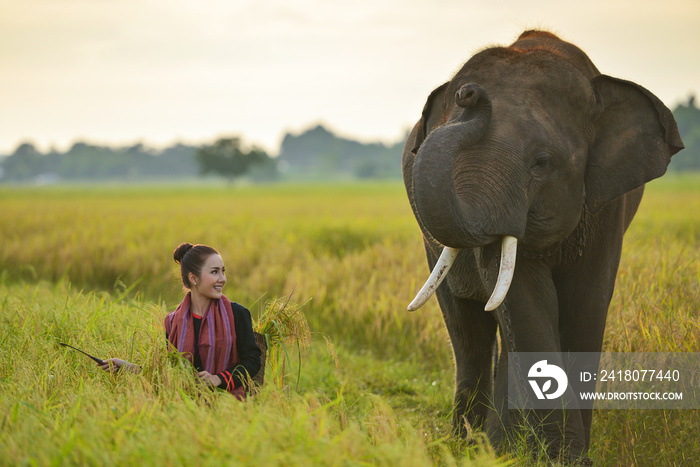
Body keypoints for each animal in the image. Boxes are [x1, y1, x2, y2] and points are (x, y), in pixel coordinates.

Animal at [402, 30, 680, 464]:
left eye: (542, 162)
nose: (469, 93)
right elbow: (525, 301)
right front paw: (556, 457)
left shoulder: (605, 205)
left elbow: (586, 303)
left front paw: (565, 458)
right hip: (434, 251)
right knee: (469, 333)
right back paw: (469, 447)